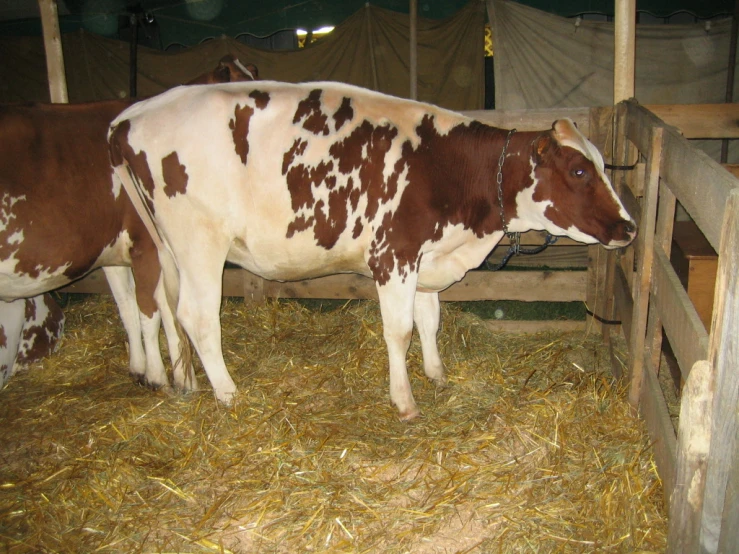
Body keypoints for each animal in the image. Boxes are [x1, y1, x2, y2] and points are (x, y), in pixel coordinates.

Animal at [0, 57, 258, 388]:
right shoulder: (146, 247)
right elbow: (152, 310)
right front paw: (163, 376)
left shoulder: (113, 252)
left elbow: (127, 307)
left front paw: (141, 367)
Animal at [110, 81, 636, 418]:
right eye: (579, 170)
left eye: (600, 165)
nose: (629, 227)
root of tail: (131, 115)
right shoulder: (394, 255)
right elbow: (399, 331)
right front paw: (404, 401)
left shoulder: (426, 257)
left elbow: (429, 321)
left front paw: (437, 374)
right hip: (200, 241)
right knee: (197, 316)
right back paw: (228, 394)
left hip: (167, 245)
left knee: (164, 305)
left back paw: (185, 382)